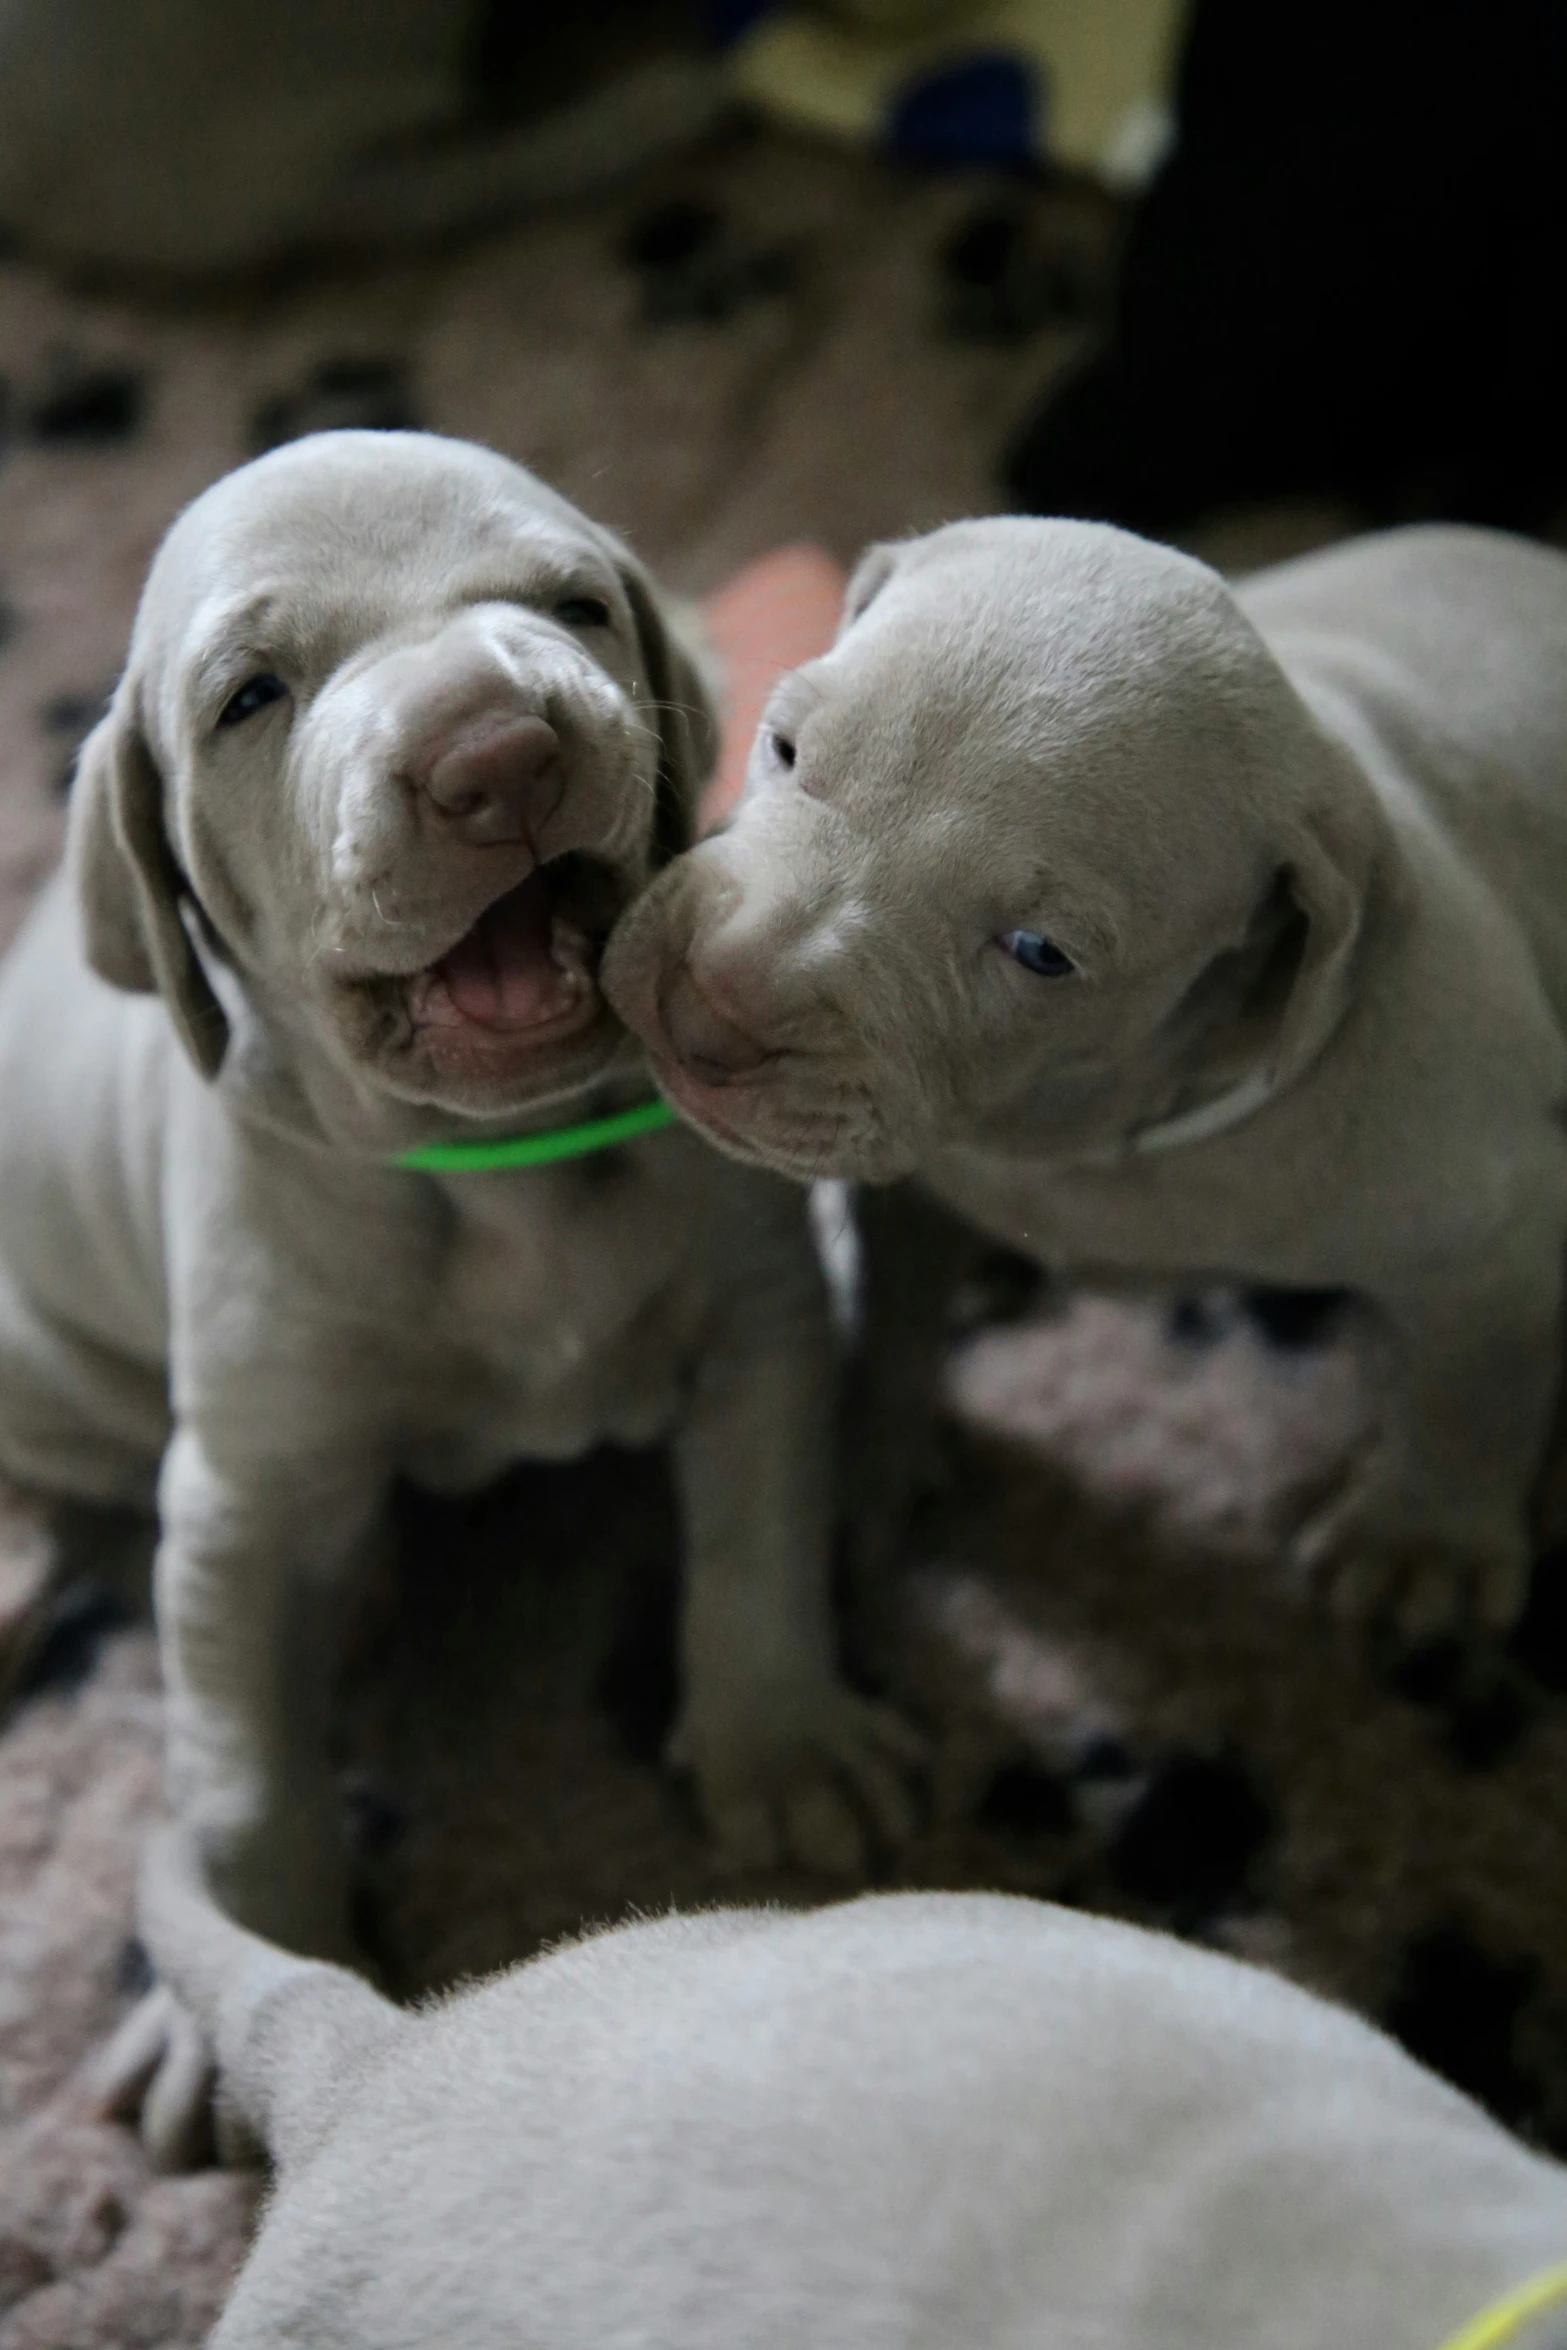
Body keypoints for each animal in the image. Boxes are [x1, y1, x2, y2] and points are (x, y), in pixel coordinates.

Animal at [0, 427, 920, 2162]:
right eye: (248, 695)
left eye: (571, 605)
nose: (497, 755)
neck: (501, 1169)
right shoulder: (241, 1498)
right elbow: (240, 1769)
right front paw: (230, 1988)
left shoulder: (756, 1321)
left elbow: (754, 1536)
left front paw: (777, 1740)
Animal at [606, 524, 1567, 1644]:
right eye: (787, 748)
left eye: (1040, 953)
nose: (703, 1016)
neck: (1069, 1123)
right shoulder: (919, 1195)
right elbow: (897, 1305)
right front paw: (872, 1457)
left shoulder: (1499, 1213)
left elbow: (1478, 1377)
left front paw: (1424, 1543)